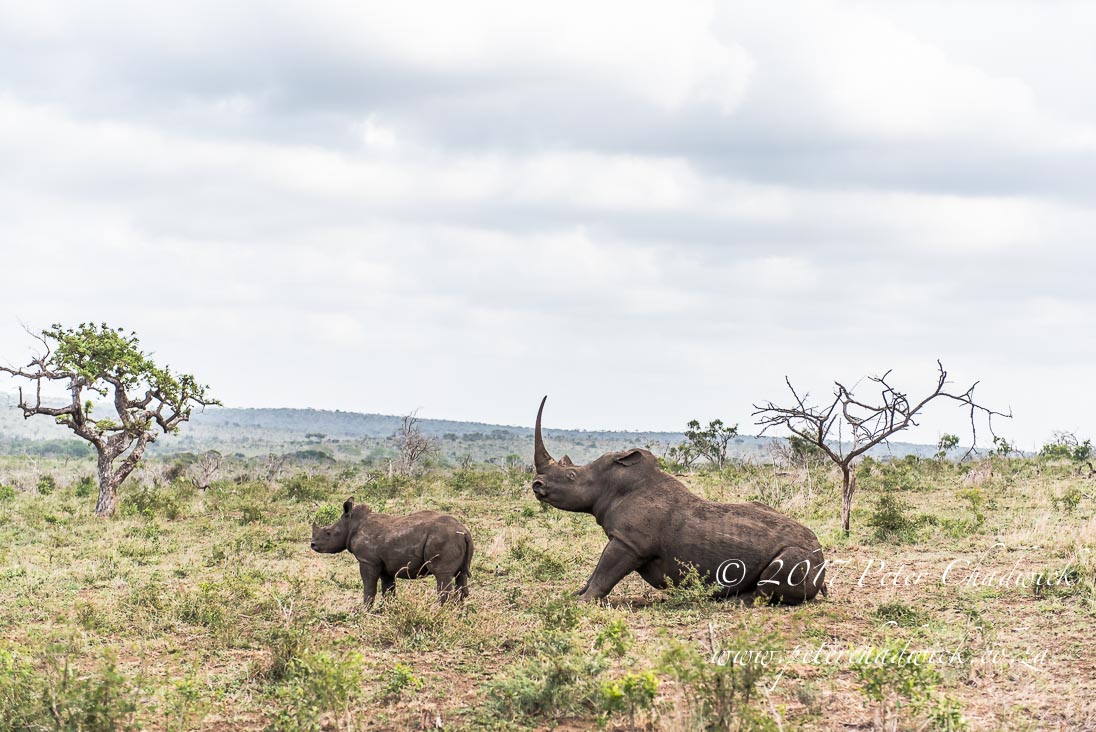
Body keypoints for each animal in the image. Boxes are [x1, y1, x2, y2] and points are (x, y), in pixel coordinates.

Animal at [310, 498, 473, 607]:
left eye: (328, 533)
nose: (312, 544)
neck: (351, 524)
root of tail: (464, 531)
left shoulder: (367, 561)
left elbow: (369, 588)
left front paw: (364, 612)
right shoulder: (385, 566)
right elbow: (388, 590)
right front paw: (387, 610)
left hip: (444, 538)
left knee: (442, 575)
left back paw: (438, 611)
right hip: (455, 538)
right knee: (461, 575)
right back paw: (457, 612)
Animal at [531, 398, 826, 605]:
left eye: (571, 476)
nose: (537, 485)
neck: (612, 485)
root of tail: (822, 557)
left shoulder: (630, 543)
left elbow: (604, 573)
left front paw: (581, 603)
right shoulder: (625, 540)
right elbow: (596, 571)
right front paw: (573, 595)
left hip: (802, 555)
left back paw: (736, 603)